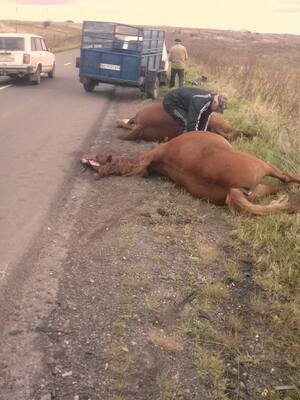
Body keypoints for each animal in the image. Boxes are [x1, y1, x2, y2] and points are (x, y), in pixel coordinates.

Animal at [82, 131, 300, 216]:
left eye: (98, 157)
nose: (83, 159)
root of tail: (230, 188)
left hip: (258, 189)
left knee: (280, 185)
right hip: (261, 165)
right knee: (285, 176)